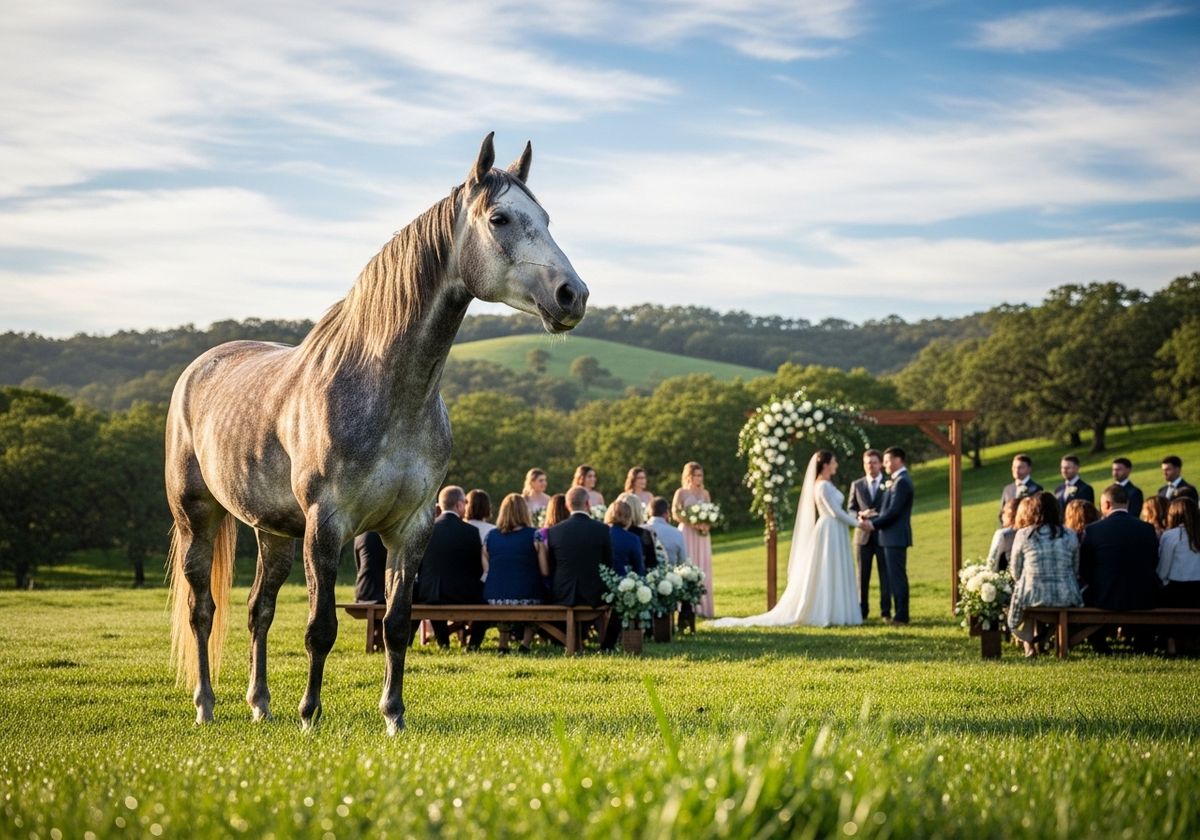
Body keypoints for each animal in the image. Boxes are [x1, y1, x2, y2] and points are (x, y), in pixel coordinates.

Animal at [165, 134, 588, 734]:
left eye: (546, 218)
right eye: (500, 218)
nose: (572, 294)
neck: (388, 392)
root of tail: (200, 367)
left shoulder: (410, 528)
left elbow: (397, 624)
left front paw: (394, 716)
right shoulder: (327, 526)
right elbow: (321, 627)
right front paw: (310, 715)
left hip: (273, 533)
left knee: (257, 611)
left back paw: (260, 704)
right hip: (196, 517)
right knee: (203, 610)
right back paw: (205, 704)